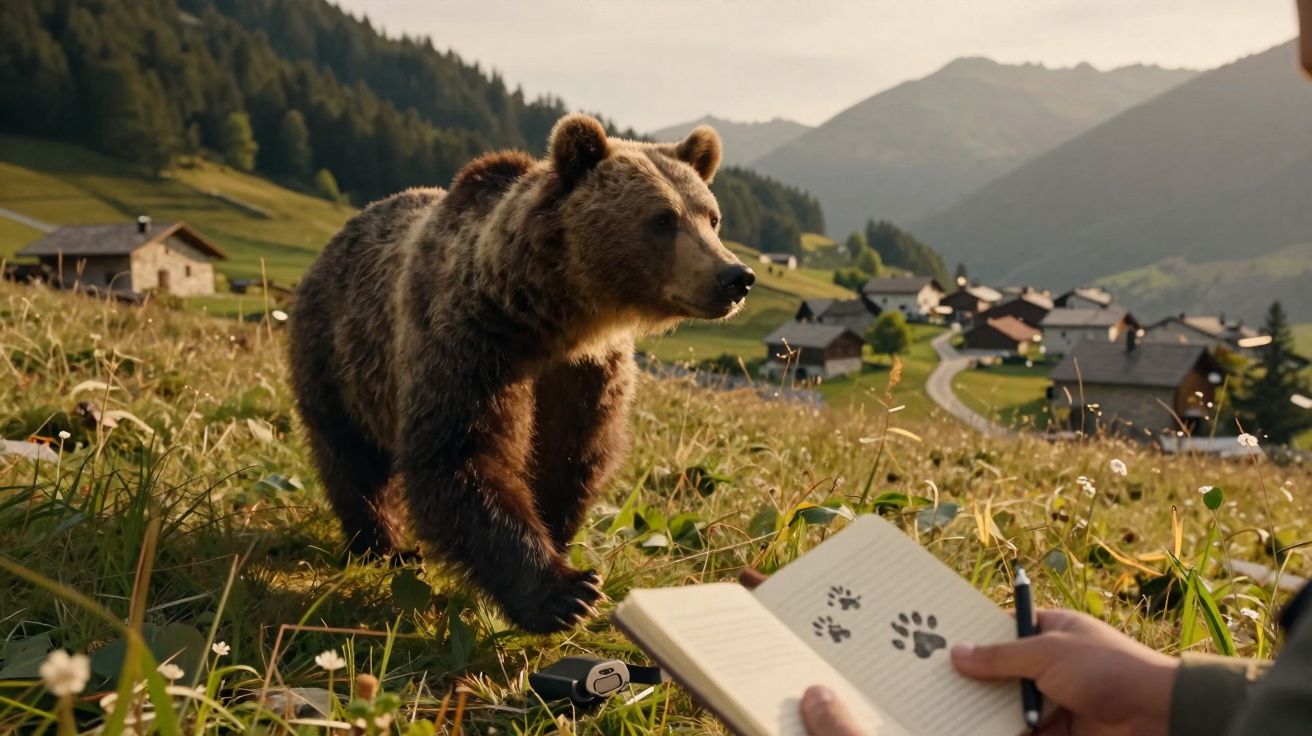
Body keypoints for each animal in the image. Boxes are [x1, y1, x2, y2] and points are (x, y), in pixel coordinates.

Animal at [289, 114, 755, 634]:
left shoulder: (588, 373)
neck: (555, 318)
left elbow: (573, 456)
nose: (734, 277)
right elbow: (462, 456)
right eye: (662, 219)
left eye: (710, 217)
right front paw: (565, 593)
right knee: (352, 459)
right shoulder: (473, 344)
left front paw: (559, 543)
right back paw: (383, 547)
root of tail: (343, 233)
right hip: (339, 353)